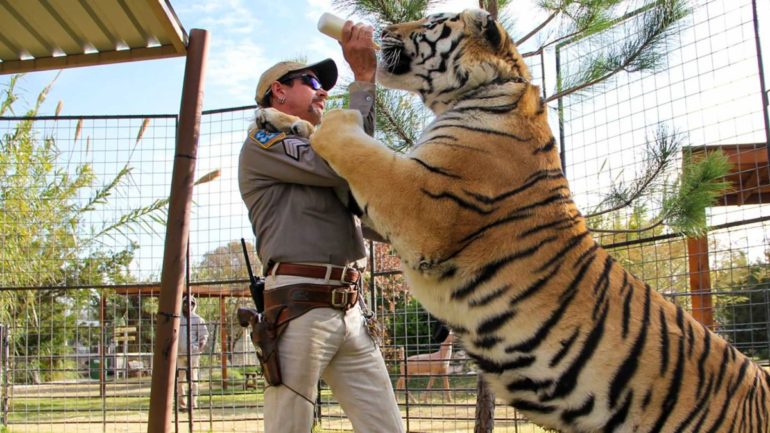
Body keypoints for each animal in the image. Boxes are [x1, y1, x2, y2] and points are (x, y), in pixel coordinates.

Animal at [285, 8, 770, 432]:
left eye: (430, 21)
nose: (382, 29)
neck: (482, 89)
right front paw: (285, 120)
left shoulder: (422, 203)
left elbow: (359, 148)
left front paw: (329, 118)